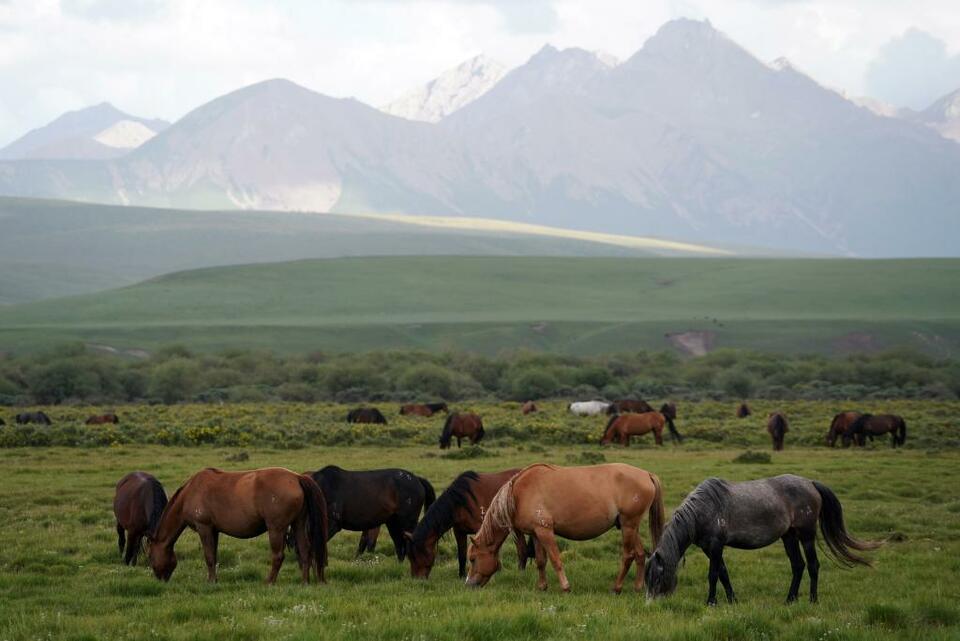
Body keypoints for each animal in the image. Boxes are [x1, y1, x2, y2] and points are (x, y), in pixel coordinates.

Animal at [148, 464, 328, 584]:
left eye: (150, 557)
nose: (161, 580)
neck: (190, 492)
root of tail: (297, 477)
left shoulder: (204, 527)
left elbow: (208, 556)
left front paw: (210, 582)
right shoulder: (214, 530)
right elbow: (214, 555)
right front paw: (215, 579)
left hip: (276, 529)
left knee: (278, 556)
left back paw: (269, 582)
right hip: (298, 524)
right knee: (305, 551)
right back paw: (305, 582)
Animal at [404, 468, 536, 576]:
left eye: (415, 555)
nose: (416, 579)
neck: (462, 501)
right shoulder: (459, 532)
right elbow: (461, 555)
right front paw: (461, 575)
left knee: (522, 549)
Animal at [464, 462, 660, 592]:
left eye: (472, 559)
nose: (469, 584)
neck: (519, 493)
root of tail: (647, 474)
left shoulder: (545, 531)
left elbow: (555, 559)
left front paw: (565, 586)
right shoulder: (535, 534)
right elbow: (541, 561)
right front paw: (542, 586)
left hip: (628, 526)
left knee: (628, 556)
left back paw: (617, 587)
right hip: (630, 527)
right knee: (640, 555)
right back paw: (638, 586)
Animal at [644, 472, 876, 604]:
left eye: (657, 576)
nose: (650, 605)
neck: (703, 510)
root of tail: (810, 483)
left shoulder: (716, 546)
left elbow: (713, 575)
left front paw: (711, 602)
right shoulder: (709, 548)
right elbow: (724, 573)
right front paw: (732, 600)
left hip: (806, 534)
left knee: (812, 565)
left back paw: (812, 600)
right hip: (789, 536)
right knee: (798, 565)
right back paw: (790, 600)